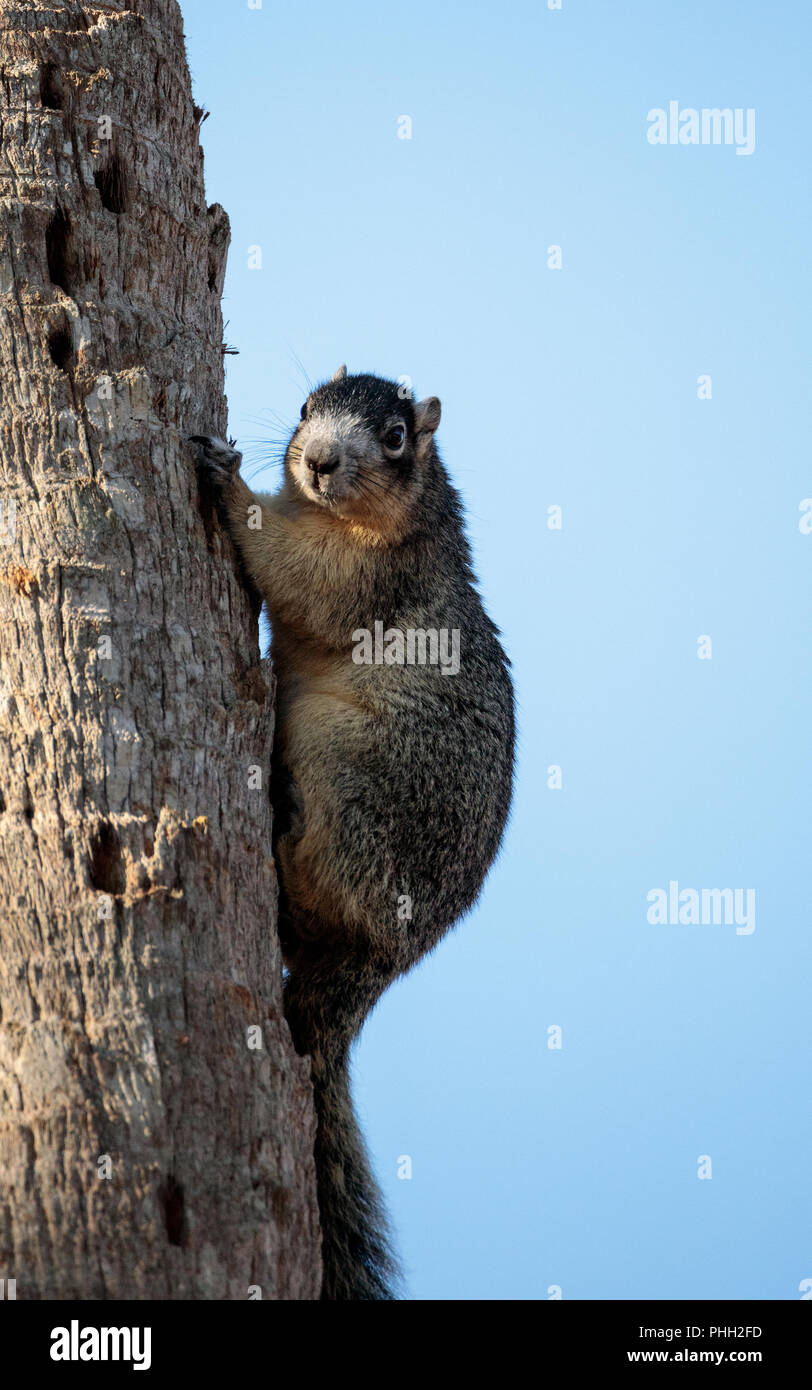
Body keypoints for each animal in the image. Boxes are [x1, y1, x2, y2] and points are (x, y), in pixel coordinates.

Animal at [191, 369, 514, 1301]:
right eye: (307, 408)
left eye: (398, 436)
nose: (320, 461)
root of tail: (378, 962)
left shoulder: (370, 578)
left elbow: (299, 577)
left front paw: (229, 484)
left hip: (353, 776)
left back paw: (282, 824)